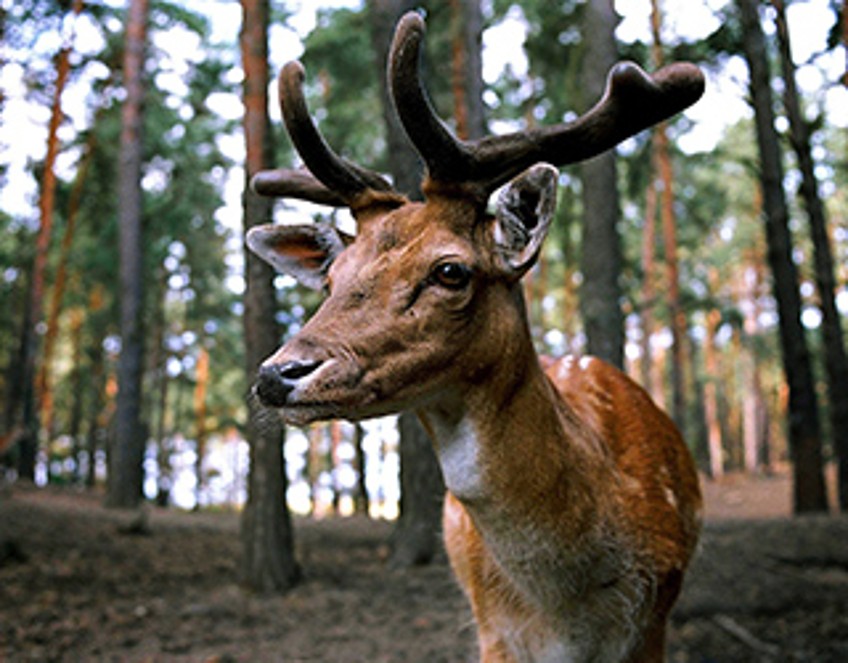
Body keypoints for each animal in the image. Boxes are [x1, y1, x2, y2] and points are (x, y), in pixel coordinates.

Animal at [243, 11, 704, 663]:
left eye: (450, 270)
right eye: (332, 278)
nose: (277, 374)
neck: (567, 613)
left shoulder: (654, 619)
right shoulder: (493, 632)